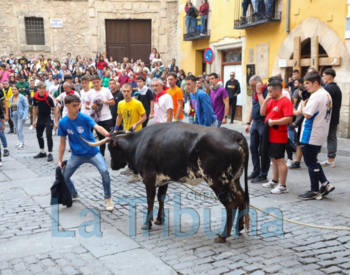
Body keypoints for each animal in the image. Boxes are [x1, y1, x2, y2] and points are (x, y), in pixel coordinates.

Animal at [84, 123, 249, 244]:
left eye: (111, 148)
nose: (112, 166)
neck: (139, 143)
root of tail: (235, 135)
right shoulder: (164, 179)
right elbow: (161, 198)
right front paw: (158, 219)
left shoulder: (149, 178)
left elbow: (150, 200)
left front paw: (147, 223)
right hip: (233, 180)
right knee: (242, 199)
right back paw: (239, 227)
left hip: (217, 181)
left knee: (230, 204)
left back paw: (223, 235)